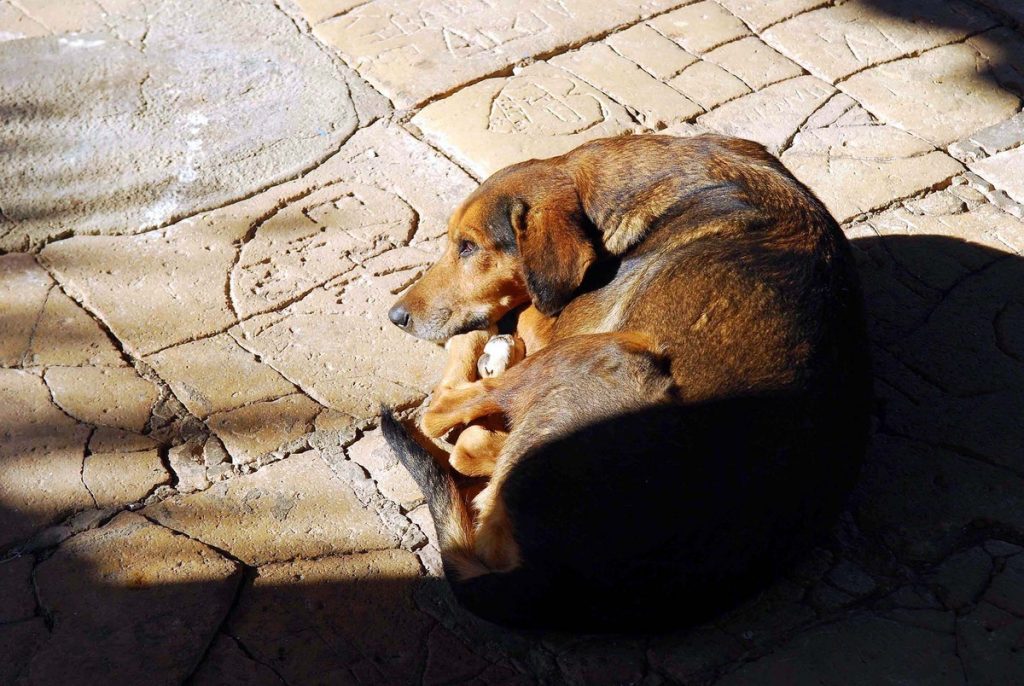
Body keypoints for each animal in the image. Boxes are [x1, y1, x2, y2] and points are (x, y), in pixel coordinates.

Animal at [382, 134, 872, 634]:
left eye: (468, 246)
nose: (396, 316)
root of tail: (555, 579)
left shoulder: (552, 323)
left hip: (602, 351)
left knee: (449, 423)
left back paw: (481, 349)